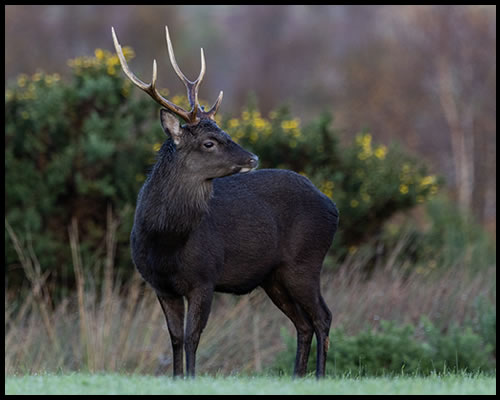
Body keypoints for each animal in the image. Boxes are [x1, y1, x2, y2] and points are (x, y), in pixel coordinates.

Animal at [112, 25, 340, 378]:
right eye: (209, 142)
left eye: (226, 133)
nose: (253, 157)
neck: (165, 240)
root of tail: (332, 206)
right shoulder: (160, 285)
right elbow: (174, 338)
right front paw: (177, 378)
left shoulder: (204, 276)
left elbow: (192, 337)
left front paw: (191, 378)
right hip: (273, 276)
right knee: (302, 323)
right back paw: (297, 376)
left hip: (306, 261)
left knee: (323, 316)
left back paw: (318, 377)